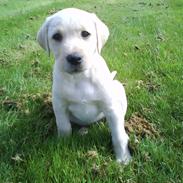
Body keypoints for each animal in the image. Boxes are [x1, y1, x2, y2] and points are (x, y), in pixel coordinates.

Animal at [37, 7, 131, 164]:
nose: (74, 58)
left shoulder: (110, 107)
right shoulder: (60, 106)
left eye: (85, 34)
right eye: (57, 36)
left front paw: (123, 158)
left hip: (118, 89)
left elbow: (118, 135)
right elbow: (64, 128)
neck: (79, 78)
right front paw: (63, 145)